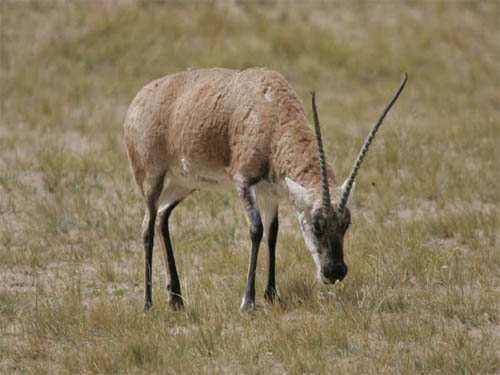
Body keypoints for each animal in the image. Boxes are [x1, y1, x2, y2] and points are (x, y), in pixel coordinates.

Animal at [124, 68, 406, 314]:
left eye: (346, 223)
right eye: (317, 223)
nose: (334, 272)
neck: (271, 112)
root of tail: (137, 102)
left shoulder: (271, 193)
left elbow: (273, 233)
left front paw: (271, 294)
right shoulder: (244, 182)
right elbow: (256, 230)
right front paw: (247, 303)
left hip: (183, 184)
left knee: (162, 216)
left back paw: (176, 299)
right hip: (152, 180)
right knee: (147, 227)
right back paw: (148, 304)